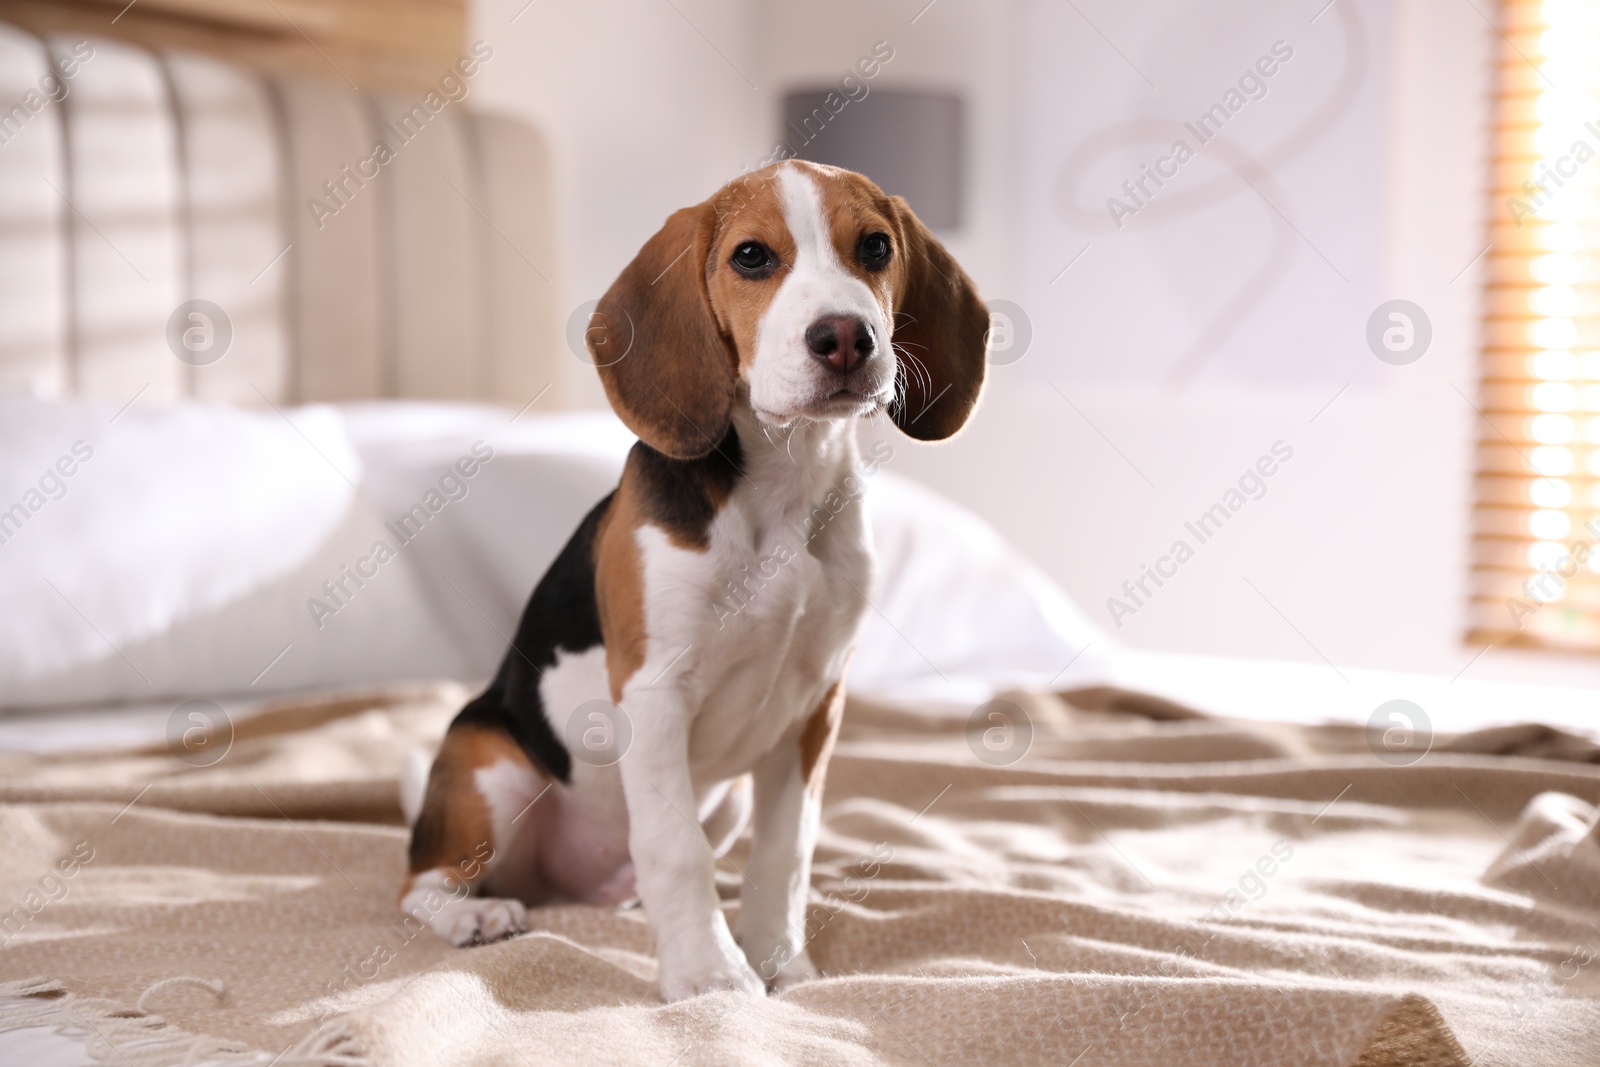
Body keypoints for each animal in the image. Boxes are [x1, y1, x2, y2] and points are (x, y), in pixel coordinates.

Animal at [400, 158, 985, 1004]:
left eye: (875, 246)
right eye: (752, 257)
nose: (846, 336)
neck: (785, 486)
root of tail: (568, 884)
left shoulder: (816, 704)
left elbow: (787, 849)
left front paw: (777, 958)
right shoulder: (654, 691)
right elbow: (676, 847)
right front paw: (709, 973)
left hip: (728, 797)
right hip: (489, 769)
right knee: (421, 880)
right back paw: (472, 914)